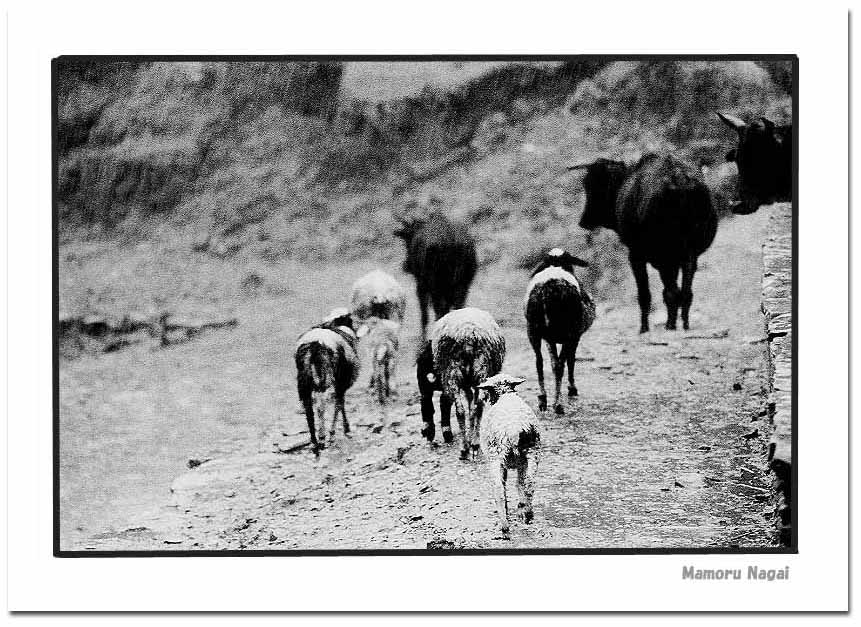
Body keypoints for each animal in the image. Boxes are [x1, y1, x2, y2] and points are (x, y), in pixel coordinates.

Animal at [292, 308, 360, 456]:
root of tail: (314, 344)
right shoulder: (341, 382)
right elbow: (339, 404)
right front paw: (343, 430)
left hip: (304, 382)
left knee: (309, 410)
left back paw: (314, 442)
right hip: (325, 378)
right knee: (321, 406)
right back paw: (323, 438)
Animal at [430, 310, 504, 462]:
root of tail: (467, 334)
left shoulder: (467, 384)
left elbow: (470, 407)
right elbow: (474, 407)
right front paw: (472, 440)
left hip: (453, 372)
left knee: (461, 410)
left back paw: (465, 448)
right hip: (480, 371)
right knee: (478, 407)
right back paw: (474, 444)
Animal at [474, 372, 540, 536]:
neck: (504, 395)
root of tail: (514, 429)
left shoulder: (502, 463)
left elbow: (504, 485)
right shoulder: (521, 463)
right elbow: (520, 484)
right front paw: (521, 509)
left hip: (496, 455)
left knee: (498, 488)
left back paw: (504, 526)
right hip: (533, 452)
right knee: (529, 483)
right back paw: (527, 513)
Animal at [524, 248, 596, 414]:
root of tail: (548, 288)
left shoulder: (549, 338)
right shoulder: (575, 336)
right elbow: (571, 360)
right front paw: (572, 389)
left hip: (534, 329)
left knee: (539, 362)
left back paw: (543, 399)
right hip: (566, 331)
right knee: (559, 366)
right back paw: (558, 404)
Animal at [568, 153, 716, 334]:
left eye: (592, 185)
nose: (584, 221)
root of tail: (678, 178)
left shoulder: (637, 255)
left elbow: (645, 294)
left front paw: (644, 328)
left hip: (665, 253)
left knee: (672, 292)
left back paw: (670, 324)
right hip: (687, 253)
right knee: (685, 291)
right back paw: (684, 324)